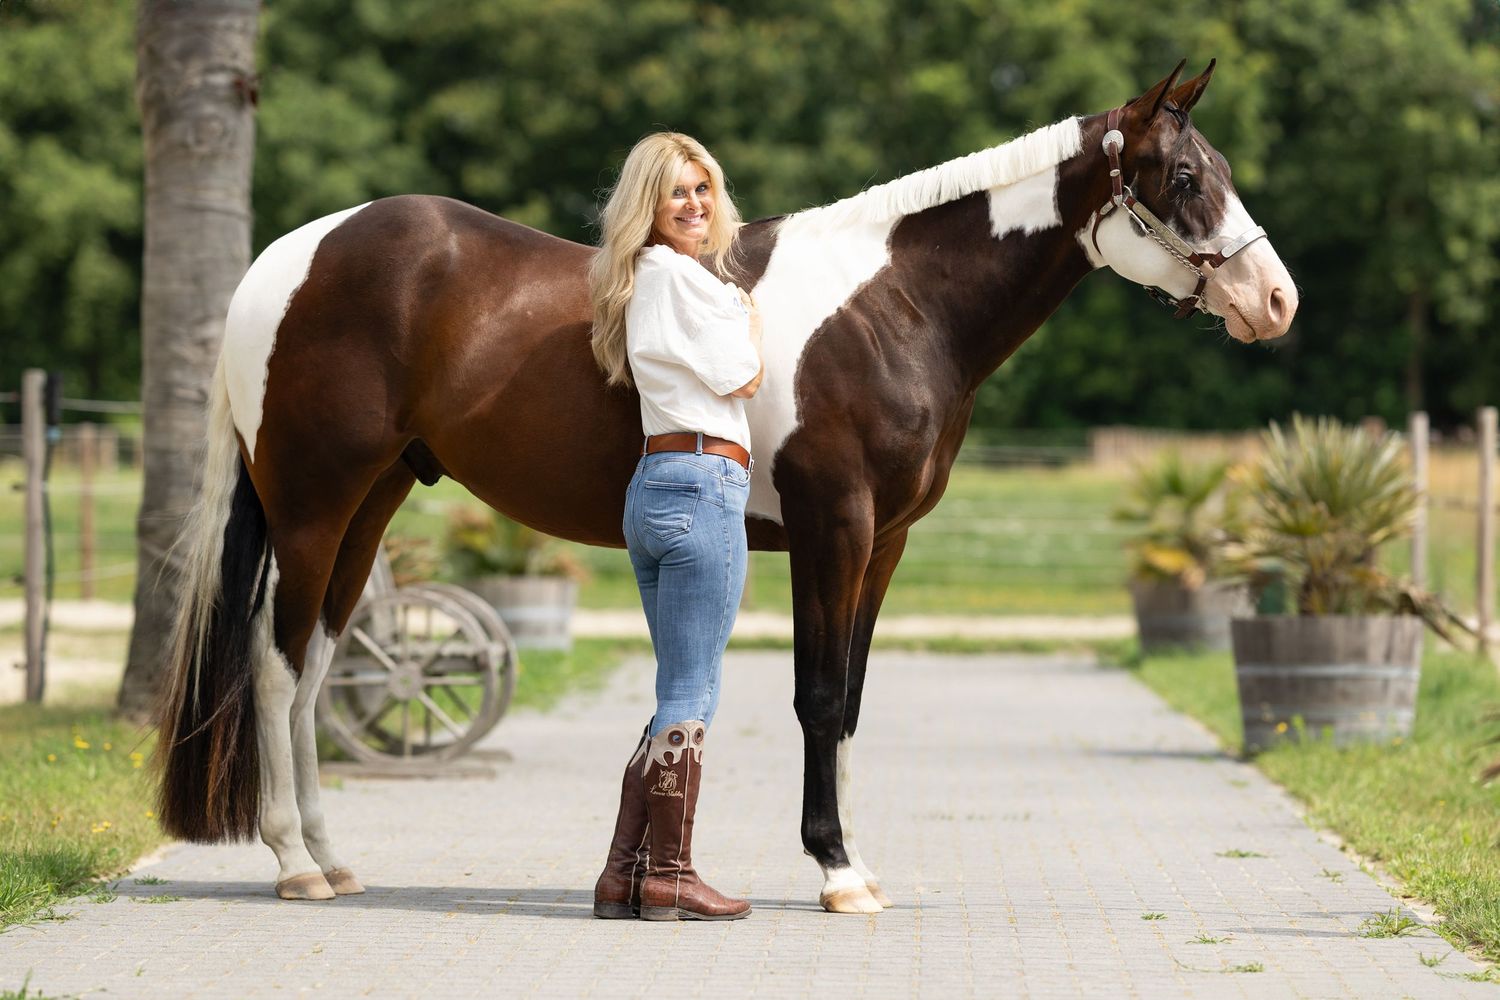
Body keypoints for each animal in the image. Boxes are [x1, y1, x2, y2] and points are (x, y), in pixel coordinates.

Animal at [156, 60, 1296, 913]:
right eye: (1183, 175)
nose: (1276, 300)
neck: (889, 306)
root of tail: (290, 255)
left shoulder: (885, 543)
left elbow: (852, 698)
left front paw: (854, 859)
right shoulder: (835, 530)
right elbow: (819, 695)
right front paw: (836, 871)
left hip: (373, 503)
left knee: (316, 667)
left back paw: (333, 856)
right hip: (314, 504)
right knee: (274, 664)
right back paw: (294, 863)